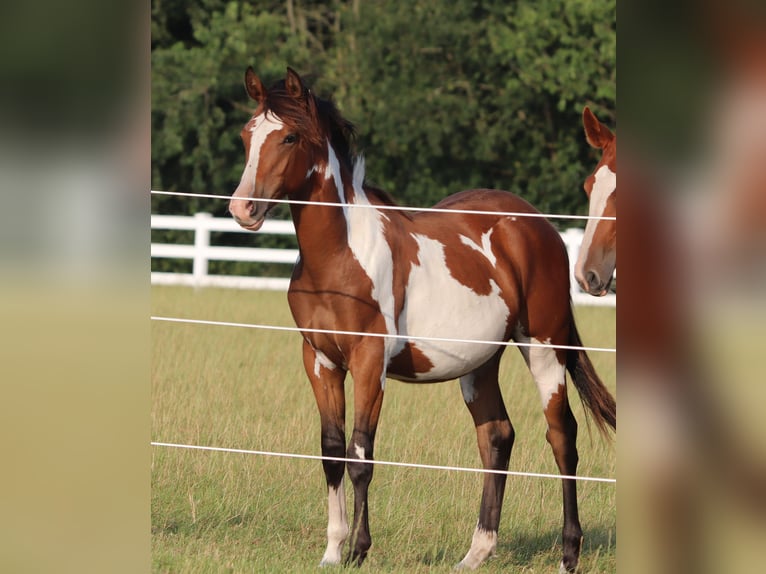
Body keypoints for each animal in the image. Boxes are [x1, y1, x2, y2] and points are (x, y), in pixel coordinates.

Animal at [228, 67, 616, 572]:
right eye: (246, 135)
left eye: (289, 137)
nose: (242, 209)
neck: (337, 258)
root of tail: (537, 225)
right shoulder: (319, 359)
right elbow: (331, 452)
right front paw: (332, 550)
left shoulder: (369, 361)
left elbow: (361, 455)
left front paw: (358, 549)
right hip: (480, 363)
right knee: (496, 436)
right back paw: (476, 552)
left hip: (544, 347)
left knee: (561, 435)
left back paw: (570, 552)